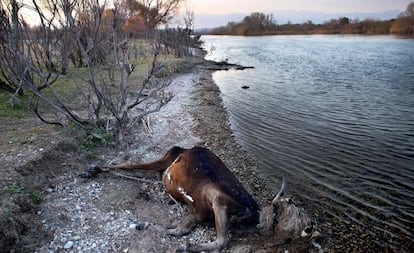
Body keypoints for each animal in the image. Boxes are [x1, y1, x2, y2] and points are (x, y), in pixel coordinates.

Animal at [81, 146, 316, 251]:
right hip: (206, 205)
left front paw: (94, 168)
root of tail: (255, 215)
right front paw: (92, 169)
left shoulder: (166, 159)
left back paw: (186, 245)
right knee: (187, 226)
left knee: (219, 238)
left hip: (217, 198)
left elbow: (129, 164)